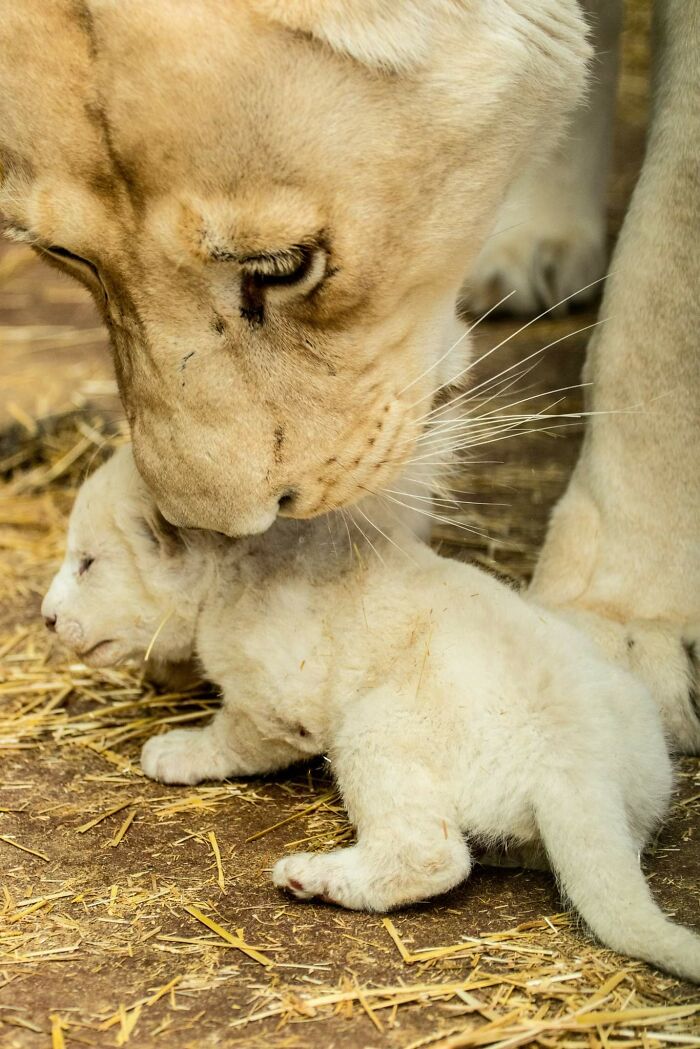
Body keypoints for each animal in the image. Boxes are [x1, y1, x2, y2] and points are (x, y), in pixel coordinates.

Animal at [41, 445, 700, 982]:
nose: (46, 618)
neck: (229, 569)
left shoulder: (275, 703)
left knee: (433, 855)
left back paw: (317, 877)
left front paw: (175, 751)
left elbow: (233, 740)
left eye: (88, 563)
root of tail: (577, 759)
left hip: (374, 729)